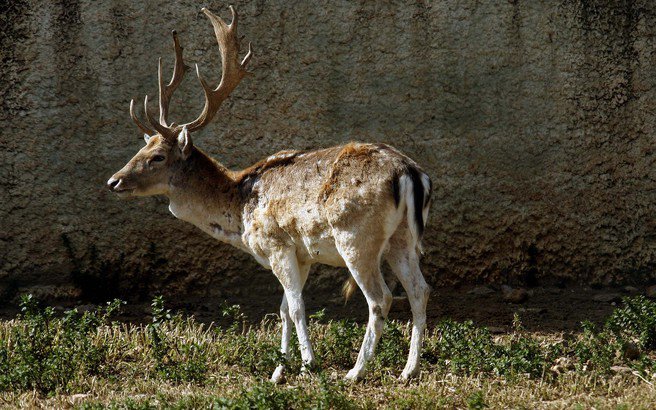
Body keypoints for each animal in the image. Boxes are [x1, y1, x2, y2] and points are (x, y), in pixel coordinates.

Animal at [107, 6, 434, 382]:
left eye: (157, 156)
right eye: (141, 148)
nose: (113, 181)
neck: (239, 212)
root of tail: (410, 173)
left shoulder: (277, 243)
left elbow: (296, 306)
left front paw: (307, 366)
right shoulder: (301, 255)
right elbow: (282, 309)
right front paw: (278, 371)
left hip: (356, 235)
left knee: (381, 298)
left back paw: (355, 371)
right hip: (402, 237)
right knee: (420, 290)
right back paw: (409, 370)